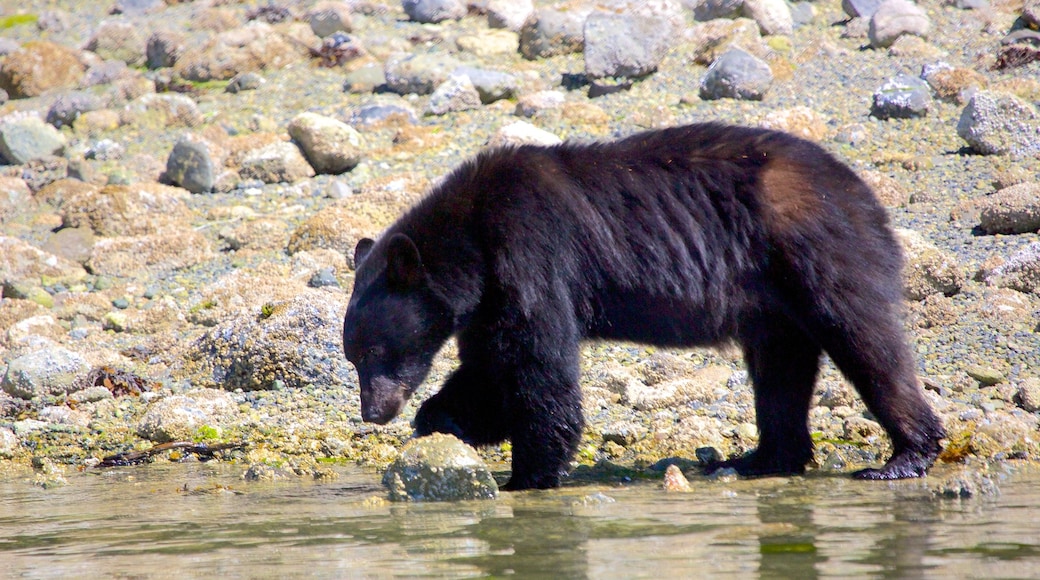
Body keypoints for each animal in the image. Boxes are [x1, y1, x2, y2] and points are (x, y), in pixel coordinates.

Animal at [345, 122, 948, 490]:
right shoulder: (489, 299)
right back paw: (762, 459)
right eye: (353, 357)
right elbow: (493, 368)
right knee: (781, 371)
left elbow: (540, 369)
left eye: (373, 350)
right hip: (774, 301)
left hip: (818, 252)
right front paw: (442, 418)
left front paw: (530, 476)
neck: (472, 237)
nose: (373, 412)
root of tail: (863, 193)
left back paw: (903, 458)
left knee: (868, 344)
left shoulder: (530, 254)